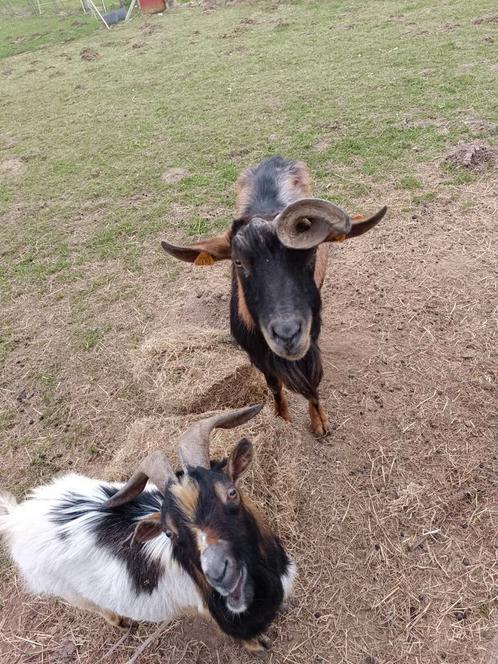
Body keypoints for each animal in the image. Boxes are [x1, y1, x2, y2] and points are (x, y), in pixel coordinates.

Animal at [0, 404, 294, 652]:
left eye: (231, 492)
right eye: (169, 532)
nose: (219, 572)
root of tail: (18, 516)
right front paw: (259, 645)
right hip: (67, 590)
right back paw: (123, 622)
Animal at [161, 157, 388, 436]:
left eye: (311, 252)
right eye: (238, 262)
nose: (287, 334)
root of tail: (274, 159)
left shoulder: (310, 342)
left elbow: (313, 382)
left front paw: (320, 422)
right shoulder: (258, 356)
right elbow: (275, 387)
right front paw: (283, 417)